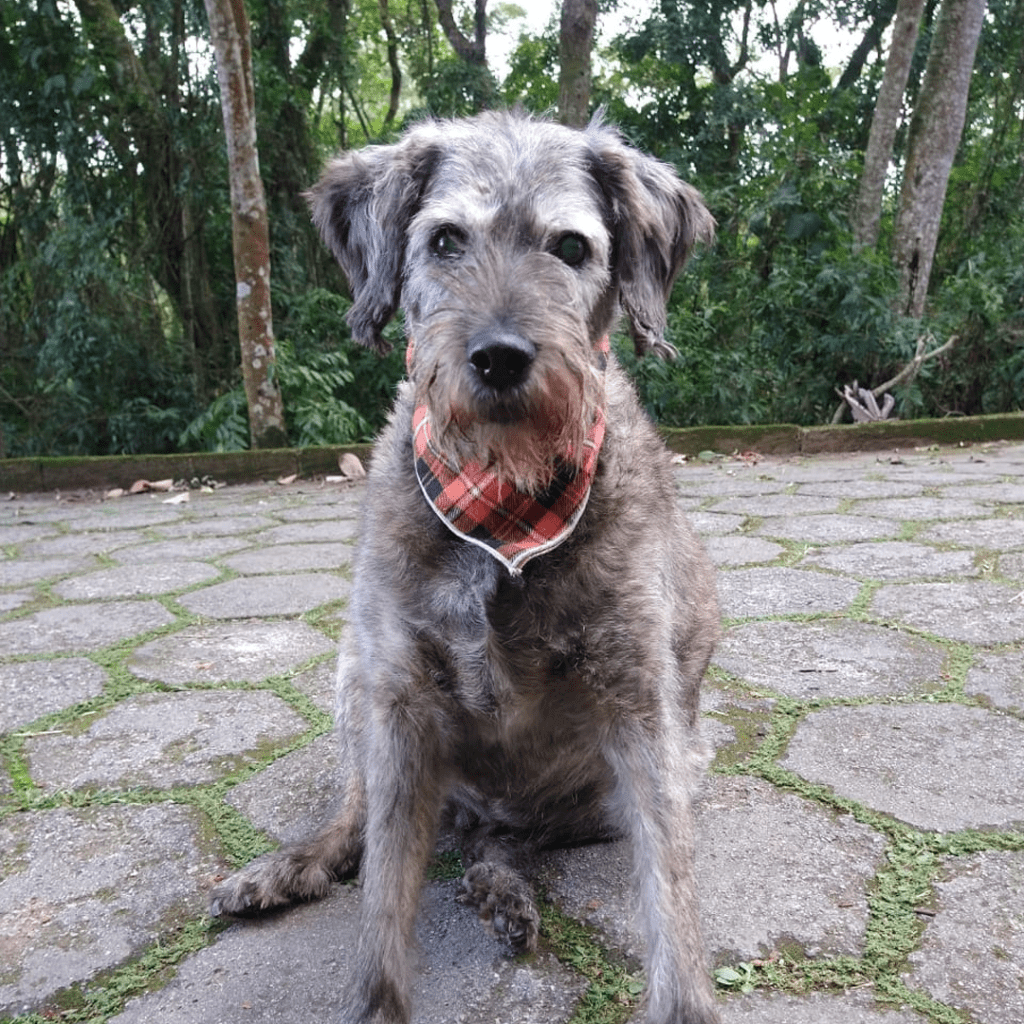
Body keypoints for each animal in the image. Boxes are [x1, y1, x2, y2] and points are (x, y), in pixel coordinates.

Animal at [207, 112, 720, 1024]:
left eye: (571, 247)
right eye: (445, 239)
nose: (501, 356)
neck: (502, 506)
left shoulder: (640, 708)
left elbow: (671, 884)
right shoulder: (400, 702)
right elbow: (383, 893)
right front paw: (374, 998)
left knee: (511, 836)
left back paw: (499, 885)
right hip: (355, 681)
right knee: (357, 813)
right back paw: (297, 862)